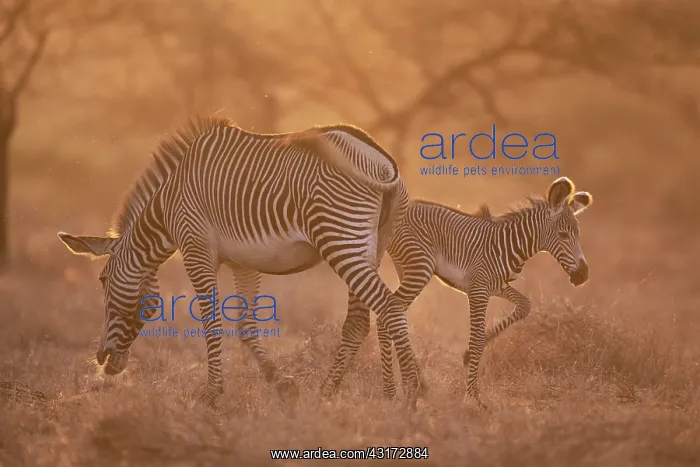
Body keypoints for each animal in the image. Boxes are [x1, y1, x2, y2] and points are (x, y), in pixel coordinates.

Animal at [57, 116, 420, 408]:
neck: (168, 204)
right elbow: (246, 326)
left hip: (341, 238)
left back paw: (412, 394)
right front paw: (282, 385)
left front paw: (211, 394)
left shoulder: (197, 250)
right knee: (359, 322)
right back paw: (332, 393)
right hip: (371, 244)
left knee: (389, 307)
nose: (101, 359)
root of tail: (380, 159)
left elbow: (212, 321)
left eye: (102, 280)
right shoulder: (243, 263)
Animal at [378, 176, 593, 405]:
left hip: (406, 268)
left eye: (578, 235)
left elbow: (524, 305)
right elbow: (477, 339)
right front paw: (474, 396)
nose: (583, 276)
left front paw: (466, 357)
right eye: (563, 235)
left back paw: (410, 386)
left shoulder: (495, 286)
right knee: (387, 316)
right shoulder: (479, 289)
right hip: (419, 267)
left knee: (395, 316)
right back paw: (391, 392)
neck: (510, 245)